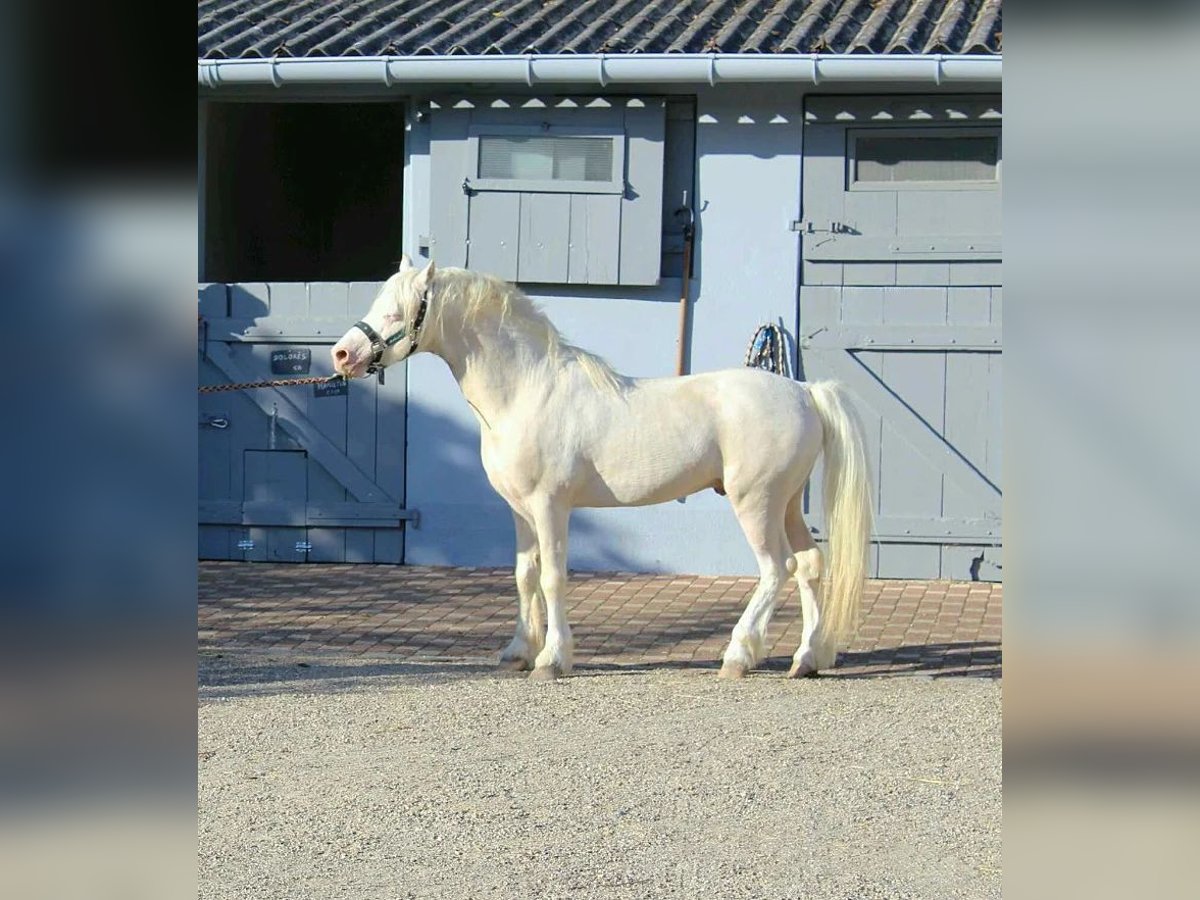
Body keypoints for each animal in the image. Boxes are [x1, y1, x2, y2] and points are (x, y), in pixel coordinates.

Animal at [331, 260, 873, 681]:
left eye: (396, 310)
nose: (342, 354)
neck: (526, 389)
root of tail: (805, 392)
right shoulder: (520, 511)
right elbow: (525, 575)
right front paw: (517, 652)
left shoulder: (551, 506)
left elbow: (553, 578)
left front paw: (552, 659)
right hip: (786, 503)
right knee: (810, 565)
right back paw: (806, 659)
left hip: (756, 503)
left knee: (776, 569)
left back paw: (739, 655)